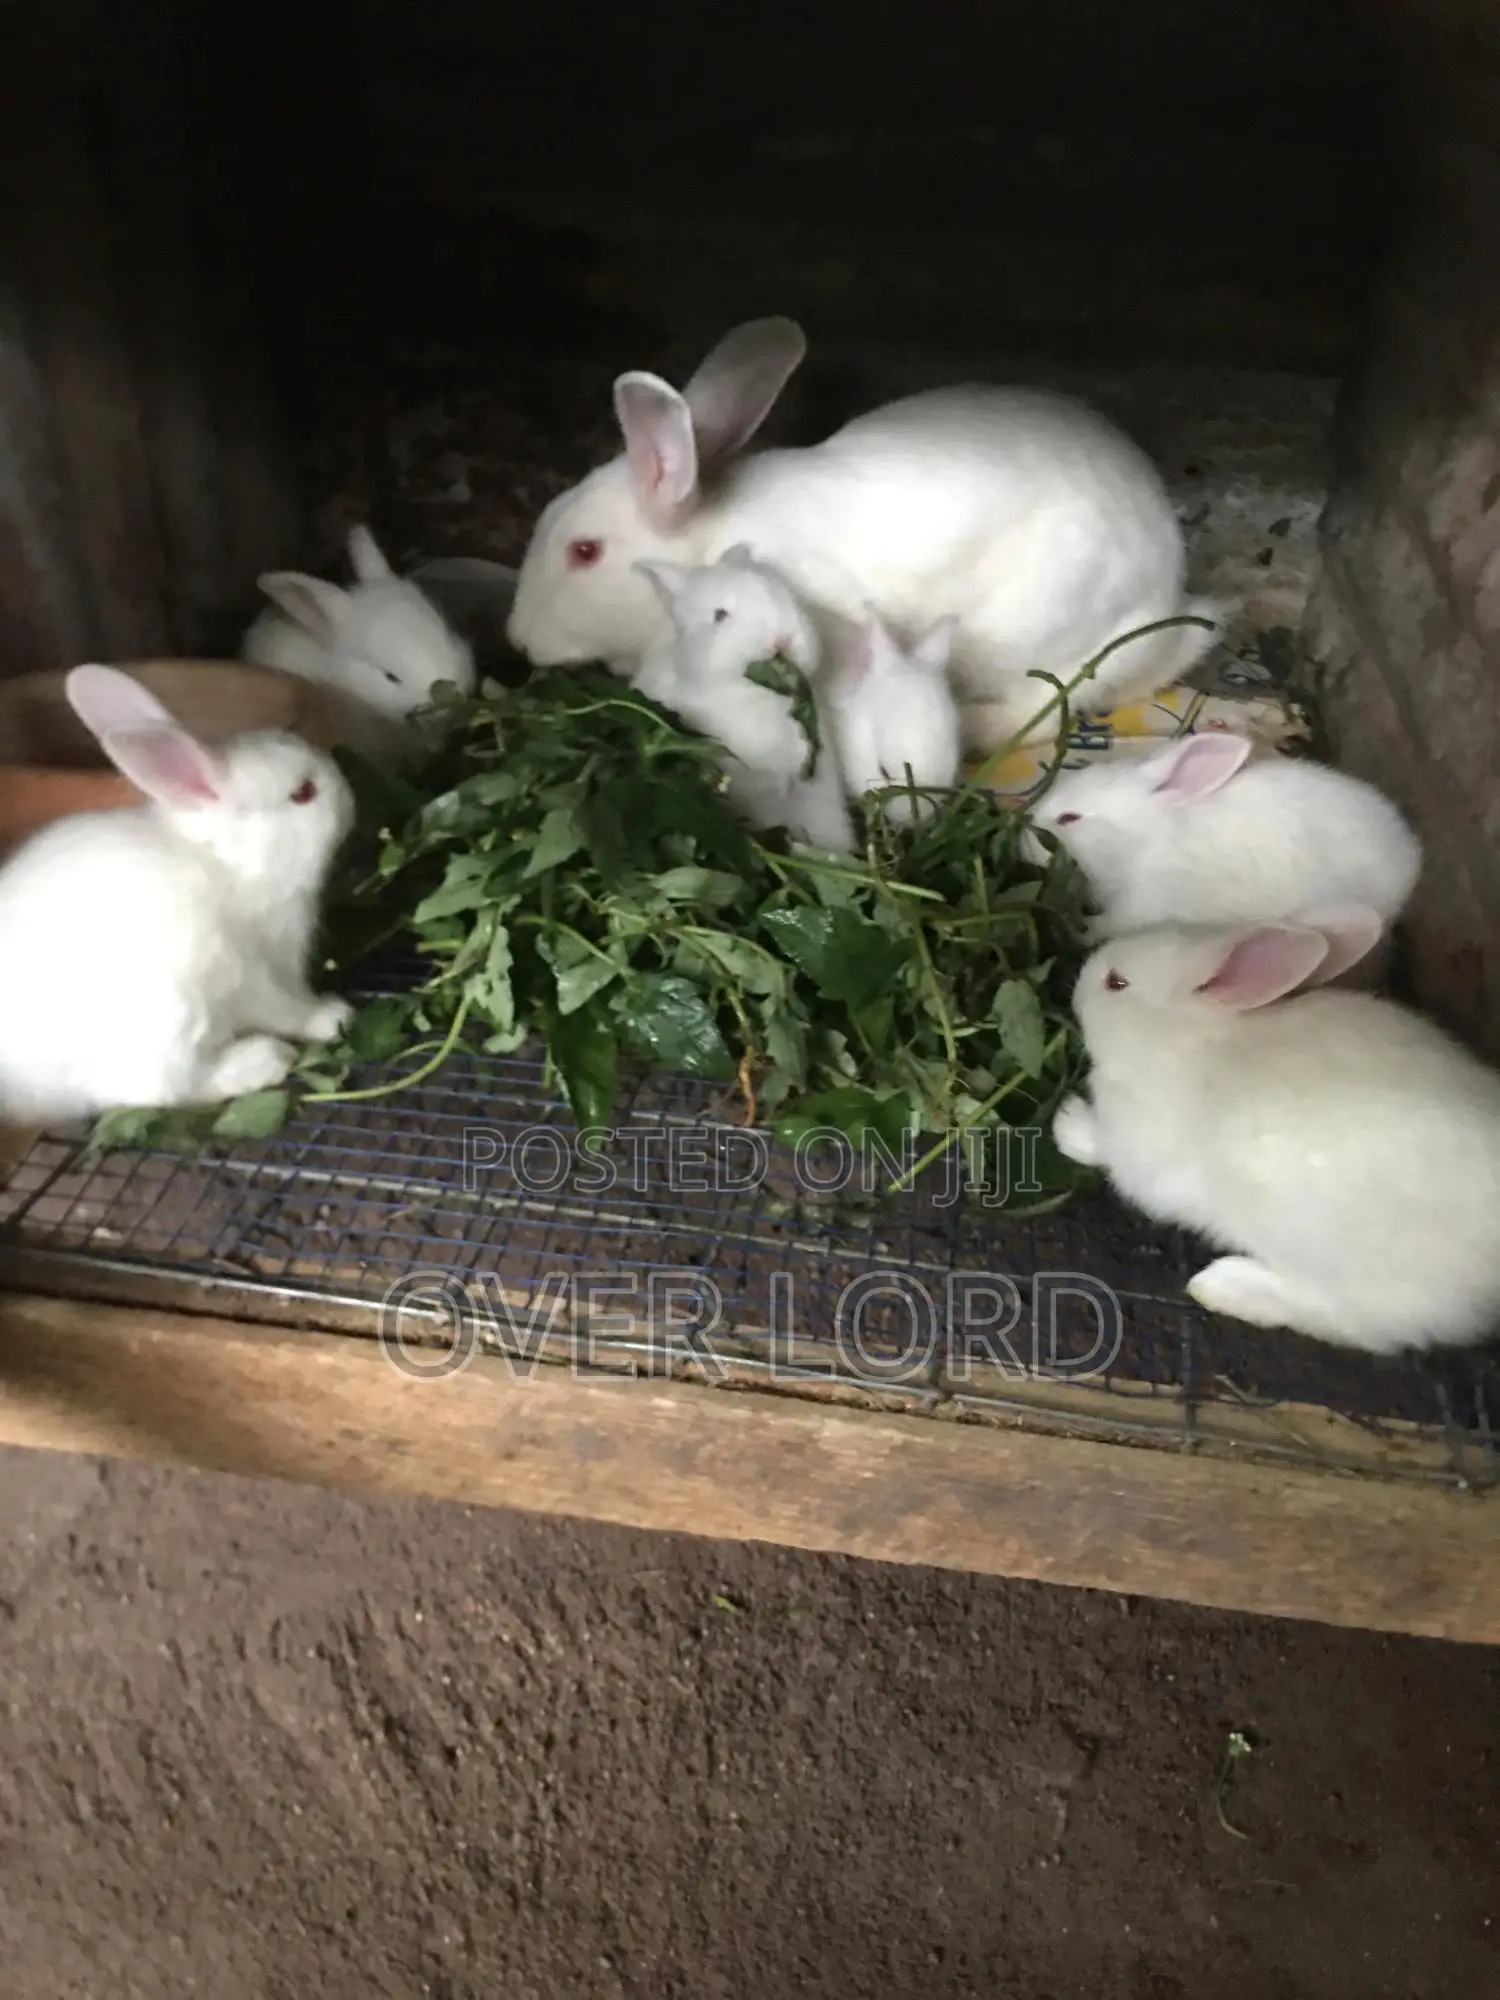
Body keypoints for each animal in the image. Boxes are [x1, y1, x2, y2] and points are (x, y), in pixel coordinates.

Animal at [0, 665, 356, 1125]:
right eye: (303, 793)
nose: (348, 796)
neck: (230, 863)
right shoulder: (256, 973)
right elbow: (287, 1007)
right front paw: (333, 1016)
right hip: (172, 1017)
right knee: (158, 1090)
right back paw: (262, 1060)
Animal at [504, 316, 1222, 754]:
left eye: (584, 552)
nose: (519, 640)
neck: (706, 540)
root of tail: (1169, 601)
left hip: (1041, 636)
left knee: (1050, 703)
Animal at [1024, 730, 1422, 978]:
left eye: (1069, 818)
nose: (1024, 840)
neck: (1146, 841)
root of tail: (1410, 857)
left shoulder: (1136, 911)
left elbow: (1098, 929)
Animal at [1053, 910, 1500, 1353]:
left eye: (1117, 982)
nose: (1079, 979)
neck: (1189, 1041)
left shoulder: (1138, 1147)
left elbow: (1102, 1149)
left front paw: (1066, 1122)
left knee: (1343, 1320)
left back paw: (1223, 1284)